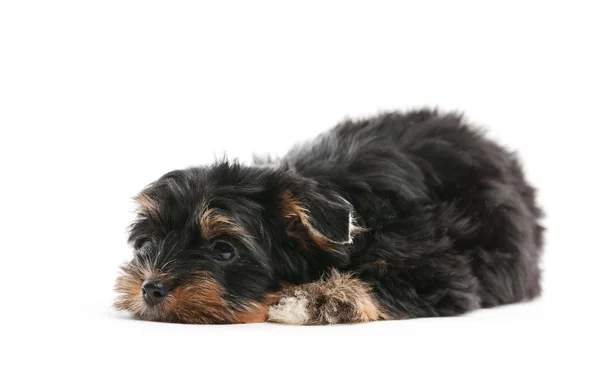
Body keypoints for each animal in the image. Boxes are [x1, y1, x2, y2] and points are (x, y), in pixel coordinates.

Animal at [112, 109, 544, 324]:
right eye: (147, 243)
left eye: (223, 250)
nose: (151, 288)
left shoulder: (436, 268)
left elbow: (376, 280)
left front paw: (314, 299)